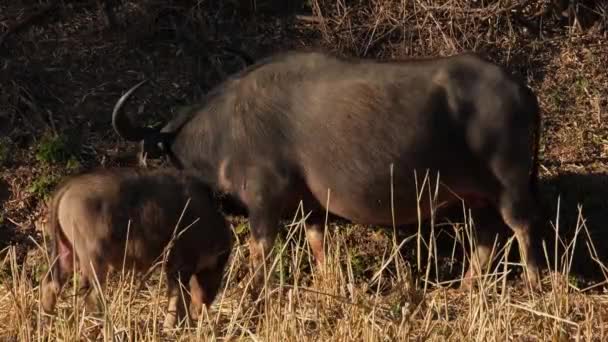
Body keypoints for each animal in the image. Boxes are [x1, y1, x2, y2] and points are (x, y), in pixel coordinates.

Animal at [38, 168, 233, 328]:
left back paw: (46, 324)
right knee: (90, 294)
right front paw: (172, 328)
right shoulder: (182, 265)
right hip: (93, 258)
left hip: (66, 250)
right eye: (219, 268)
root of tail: (67, 187)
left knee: (51, 284)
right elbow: (178, 297)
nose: (201, 310)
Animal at [111, 50, 544, 292]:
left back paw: (537, 285)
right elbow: (318, 246)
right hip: (477, 198)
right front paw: (324, 286)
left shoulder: (263, 203)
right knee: (486, 241)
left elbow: (260, 255)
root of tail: (522, 92)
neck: (226, 128)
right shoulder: (312, 208)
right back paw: (467, 289)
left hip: (510, 186)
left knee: (523, 228)